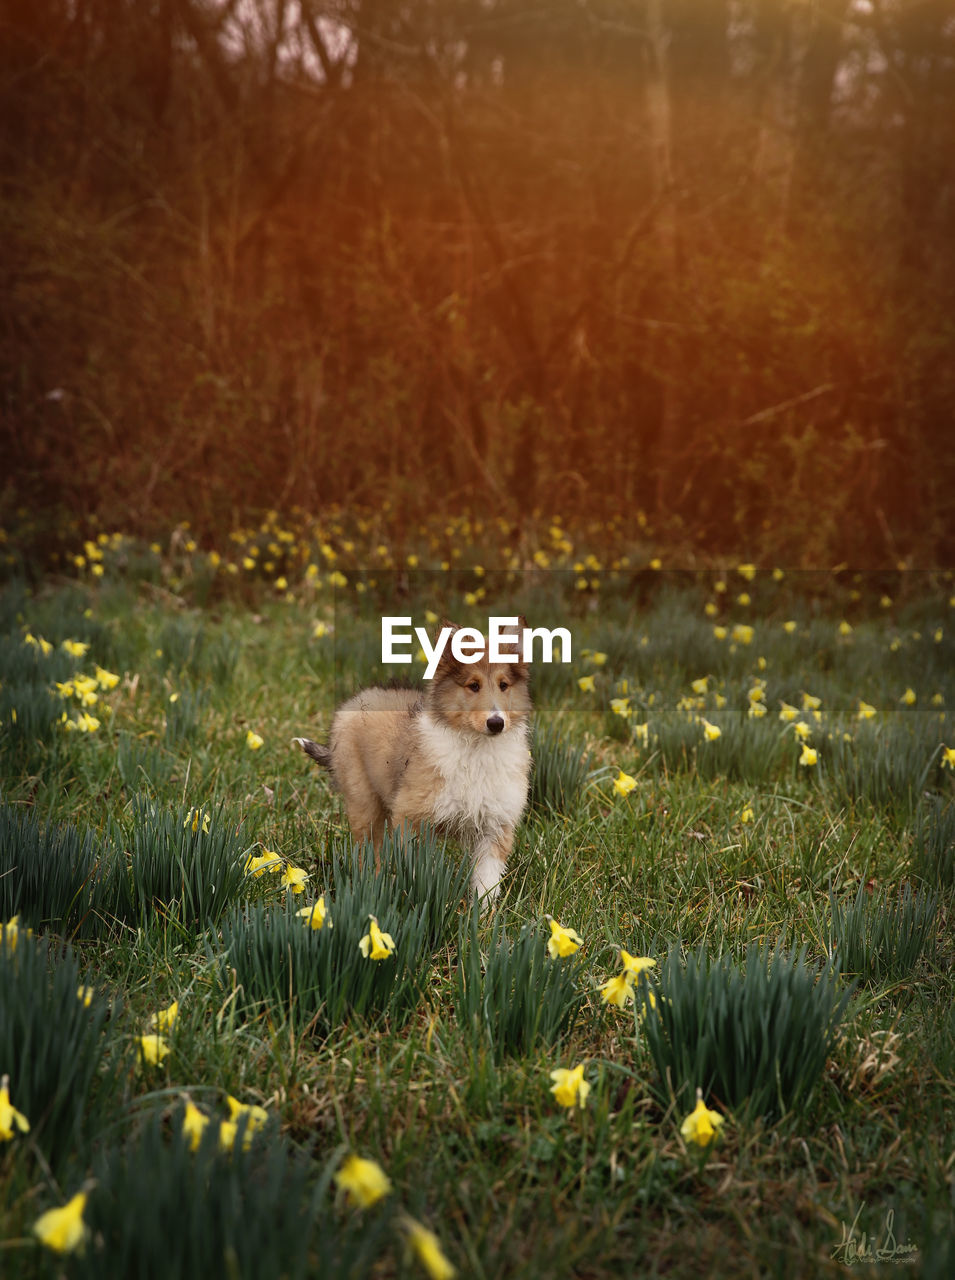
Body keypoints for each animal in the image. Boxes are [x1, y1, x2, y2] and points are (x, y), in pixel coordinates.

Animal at [291, 616, 527, 901]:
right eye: (474, 685)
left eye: (504, 685)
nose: (496, 723)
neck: (477, 750)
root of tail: (358, 698)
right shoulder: (411, 819)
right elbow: (417, 871)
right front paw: (419, 898)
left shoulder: (495, 827)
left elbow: (487, 885)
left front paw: (485, 914)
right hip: (364, 803)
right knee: (368, 852)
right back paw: (370, 888)